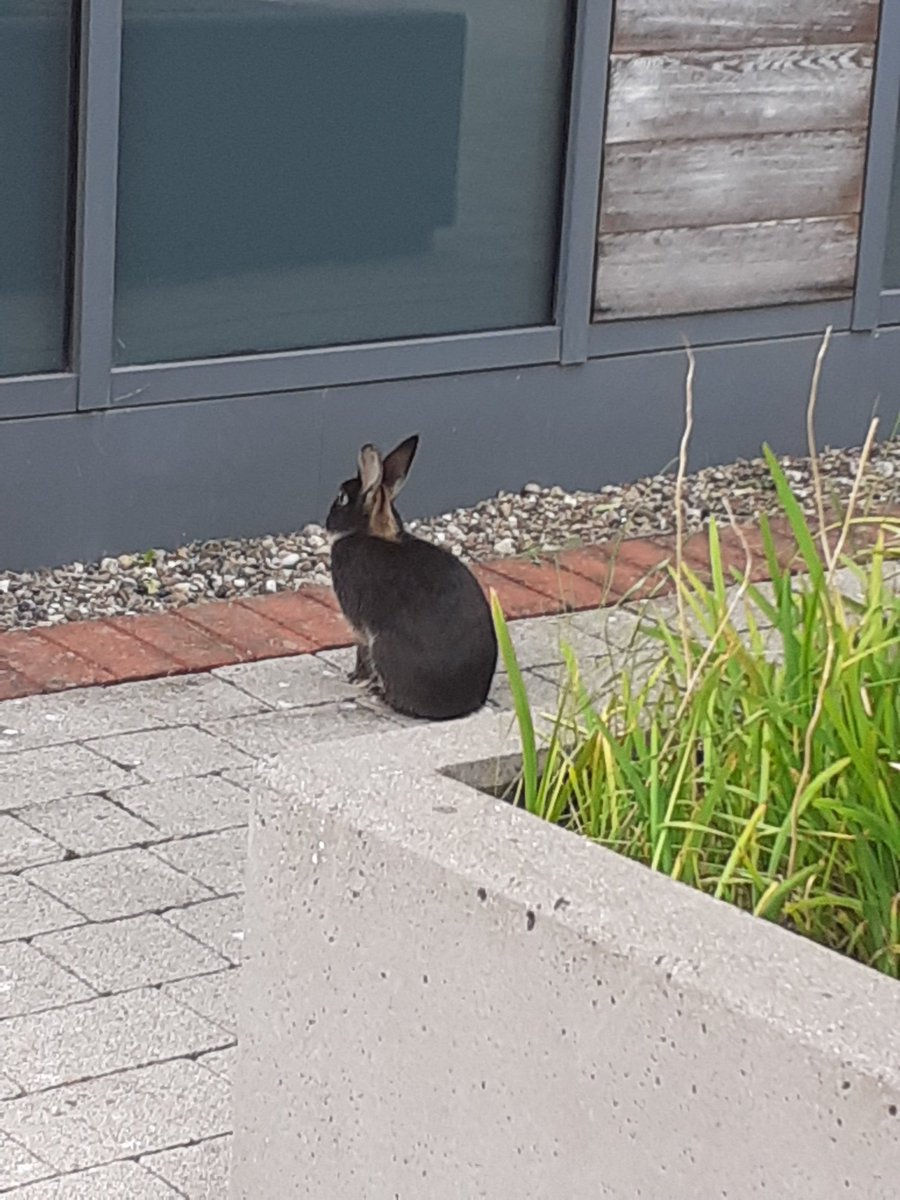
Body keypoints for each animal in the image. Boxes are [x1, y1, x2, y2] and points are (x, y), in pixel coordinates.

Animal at [325, 435, 497, 720]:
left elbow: (361, 652)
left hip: (383, 647)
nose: (327, 521)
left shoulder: (358, 626)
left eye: (341, 498)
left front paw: (355, 678)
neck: (372, 532)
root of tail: (460, 705)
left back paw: (376, 695)